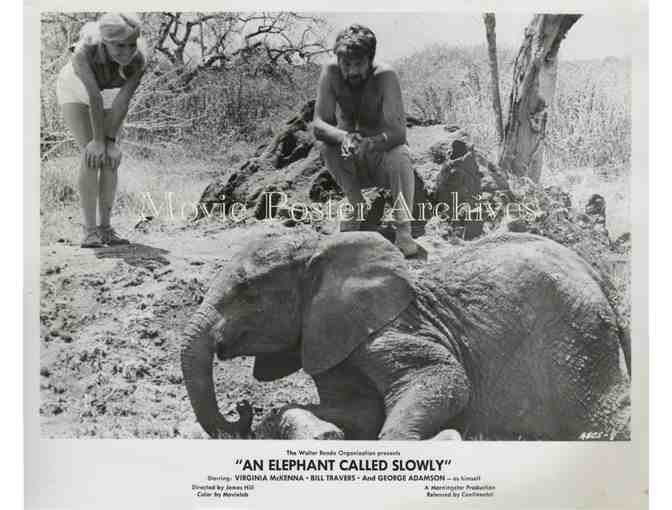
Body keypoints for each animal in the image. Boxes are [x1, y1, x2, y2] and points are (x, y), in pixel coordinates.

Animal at [180, 226, 630, 440]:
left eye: (248, 293)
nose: (241, 410)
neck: (323, 249)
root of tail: (596, 274)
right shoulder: (330, 344)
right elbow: (361, 412)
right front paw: (307, 424)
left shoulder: (386, 331)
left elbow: (446, 378)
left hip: (579, 336)